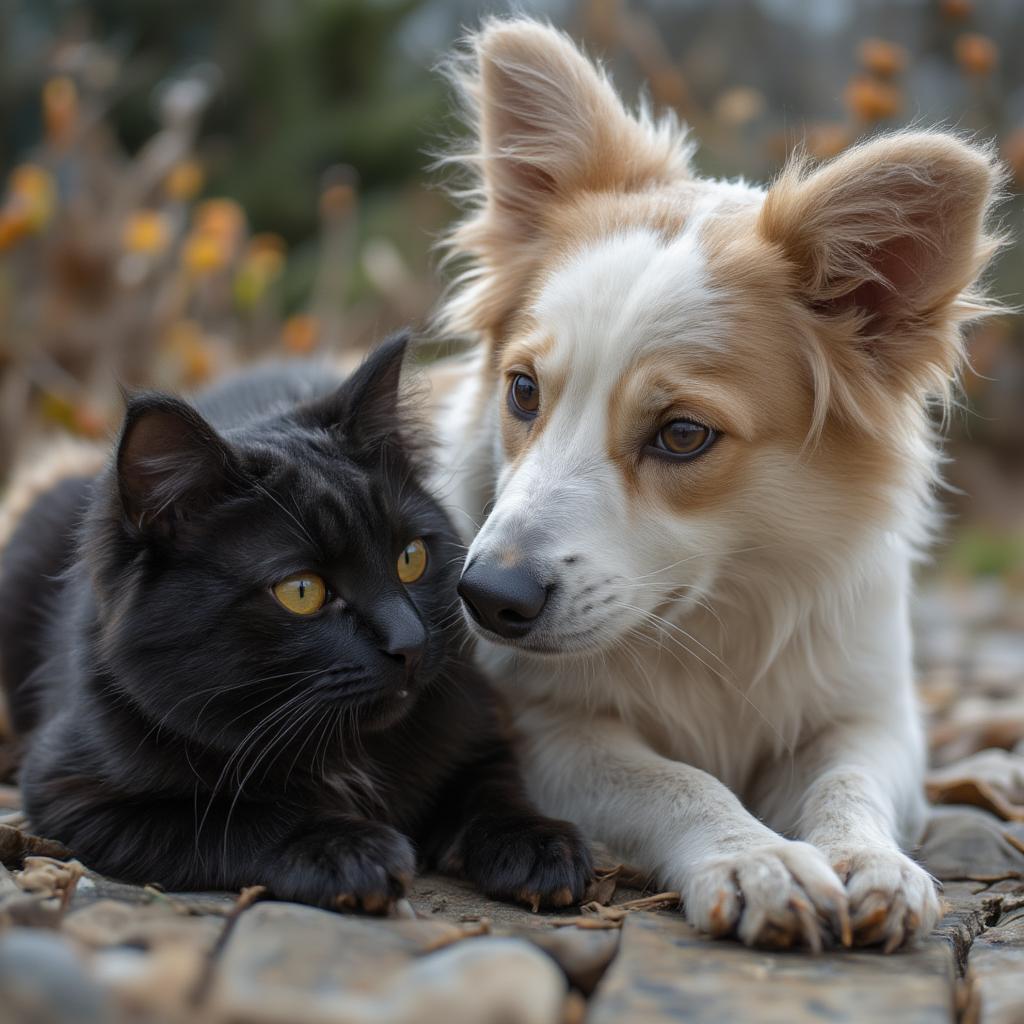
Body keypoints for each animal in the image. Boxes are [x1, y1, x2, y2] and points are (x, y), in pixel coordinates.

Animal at [0, 335, 593, 913]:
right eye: (301, 592)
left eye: (411, 558)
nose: (412, 642)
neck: (345, 748)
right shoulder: (73, 790)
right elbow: (230, 817)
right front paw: (348, 848)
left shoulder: (476, 729)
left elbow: (492, 786)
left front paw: (538, 844)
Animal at [428, 18, 1003, 950]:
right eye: (522, 391)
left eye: (683, 434)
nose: (487, 598)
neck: (712, 615)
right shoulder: (544, 725)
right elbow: (675, 781)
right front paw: (755, 857)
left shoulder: (872, 714)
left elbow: (848, 782)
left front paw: (865, 857)